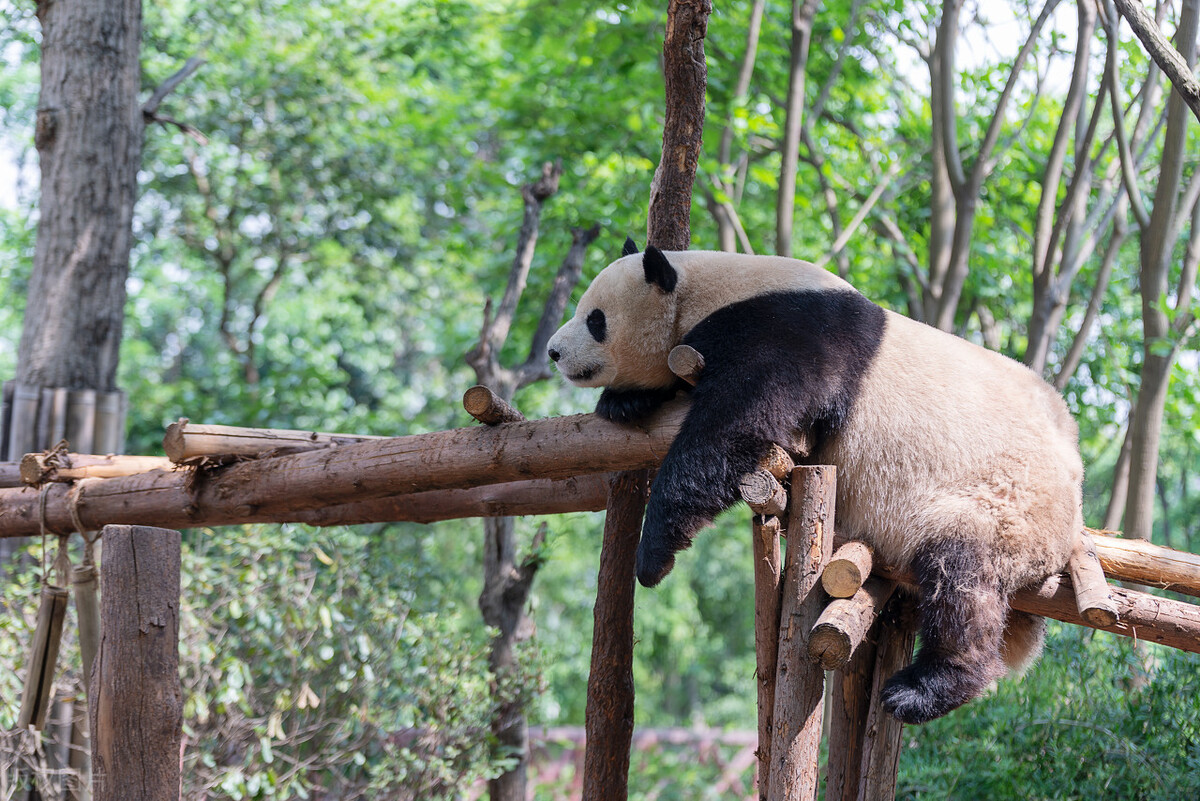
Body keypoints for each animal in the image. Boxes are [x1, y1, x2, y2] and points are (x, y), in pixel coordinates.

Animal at [549, 241, 1084, 724]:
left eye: (595, 319)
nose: (554, 351)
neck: (706, 292)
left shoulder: (794, 334)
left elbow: (737, 424)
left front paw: (653, 556)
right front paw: (624, 401)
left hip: (1003, 505)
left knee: (962, 580)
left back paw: (924, 689)